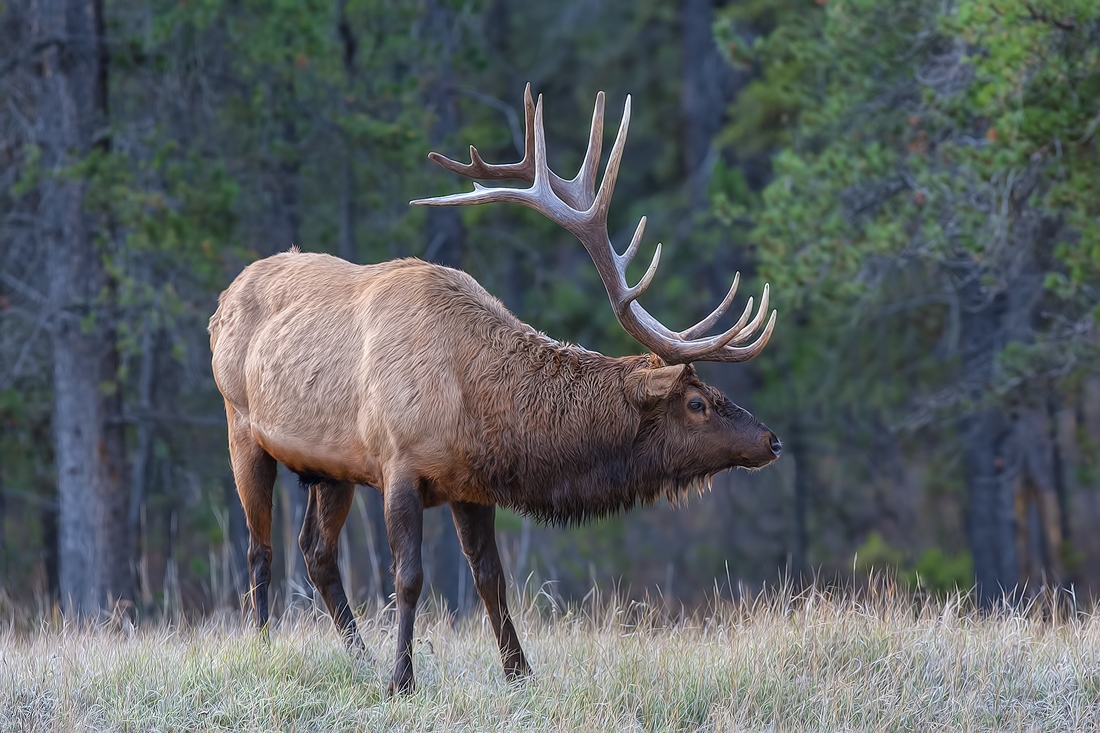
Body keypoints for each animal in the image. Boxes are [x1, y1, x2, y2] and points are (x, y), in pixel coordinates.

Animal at [210, 84, 783, 691]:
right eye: (697, 403)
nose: (771, 440)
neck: (479, 407)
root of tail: (223, 298)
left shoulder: (470, 484)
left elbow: (490, 576)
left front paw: (518, 671)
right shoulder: (399, 464)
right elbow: (409, 577)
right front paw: (402, 679)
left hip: (330, 468)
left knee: (315, 551)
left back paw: (359, 657)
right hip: (240, 424)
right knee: (260, 548)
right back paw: (265, 646)